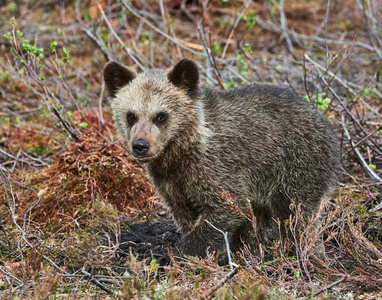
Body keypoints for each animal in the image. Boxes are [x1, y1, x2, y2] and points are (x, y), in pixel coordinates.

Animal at [103, 58, 338, 258]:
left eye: (161, 116)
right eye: (131, 115)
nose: (140, 145)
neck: (179, 153)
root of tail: (326, 125)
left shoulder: (215, 167)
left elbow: (228, 208)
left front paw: (185, 252)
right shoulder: (171, 182)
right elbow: (185, 215)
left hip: (295, 165)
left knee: (296, 214)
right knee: (260, 220)